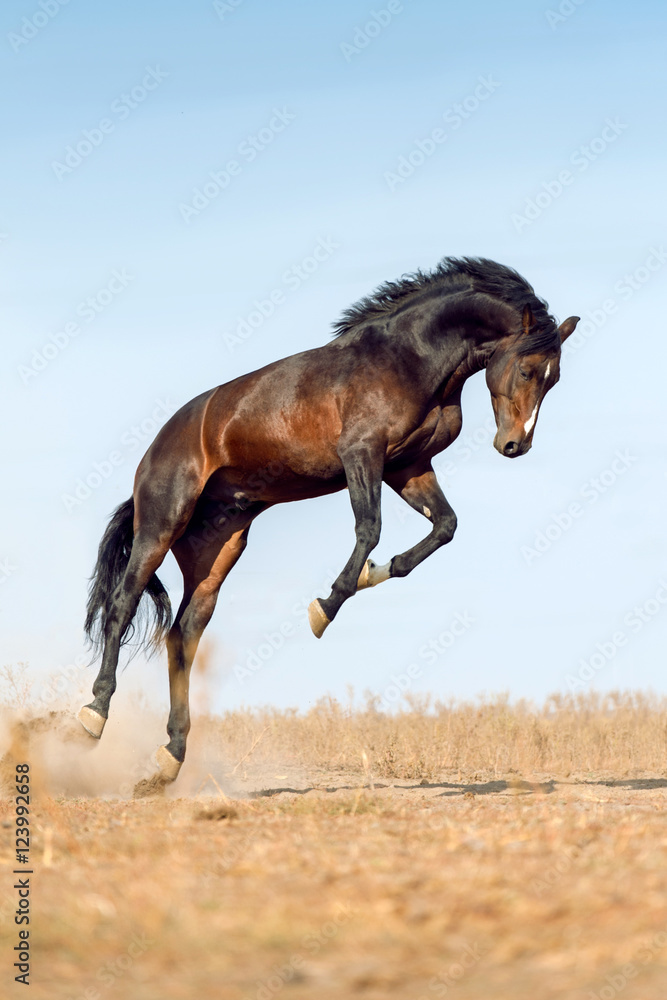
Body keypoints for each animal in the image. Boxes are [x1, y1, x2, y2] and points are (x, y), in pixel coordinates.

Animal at [78, 256, 579, 787]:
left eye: (554, 379)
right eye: (526, 369)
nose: (515, 445)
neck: (410, 358)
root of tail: (159, 445)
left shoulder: (408, 466)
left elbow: (444, 527)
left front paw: (374, 574)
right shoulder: (362, 455)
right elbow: (370, 529)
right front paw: (326, 606)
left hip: (218, 548)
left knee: (183, 635)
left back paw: (170, 758)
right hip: (161, 525)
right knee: (121, 606)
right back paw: (92, 717)